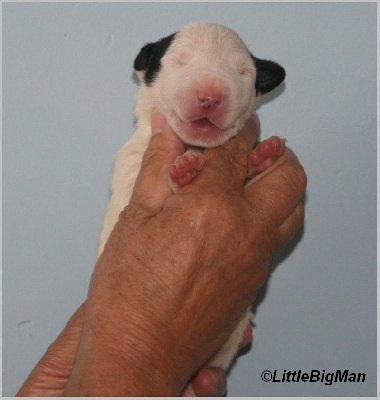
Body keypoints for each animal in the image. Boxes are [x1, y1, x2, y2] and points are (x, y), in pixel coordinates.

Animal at [98, 21, 284, 372]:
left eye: (242, 71)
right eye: (179, 61)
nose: (210, 97)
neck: (197, 147)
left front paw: (262, 157)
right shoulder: (134, 167)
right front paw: (182, 171)